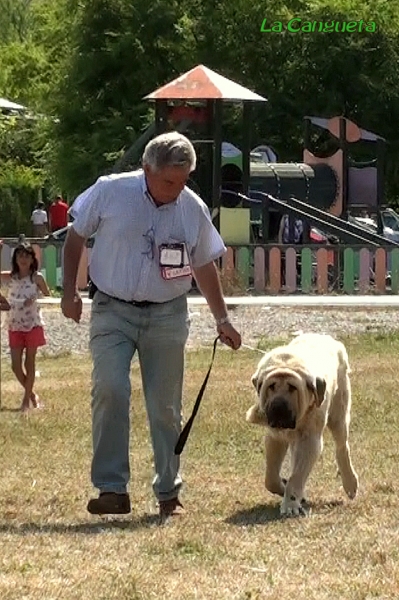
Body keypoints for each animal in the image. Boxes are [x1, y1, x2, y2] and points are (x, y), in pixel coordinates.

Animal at [247, 332, 360, 516]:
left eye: (293, 388)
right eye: (271, 386)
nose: (278, 407)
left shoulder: (310, 441)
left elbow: (297, 476)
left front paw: (290, 503)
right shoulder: (275, 438)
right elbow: (270, 478)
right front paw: (284, 487)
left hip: (339, 415)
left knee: (342, 447)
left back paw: (350, 483)